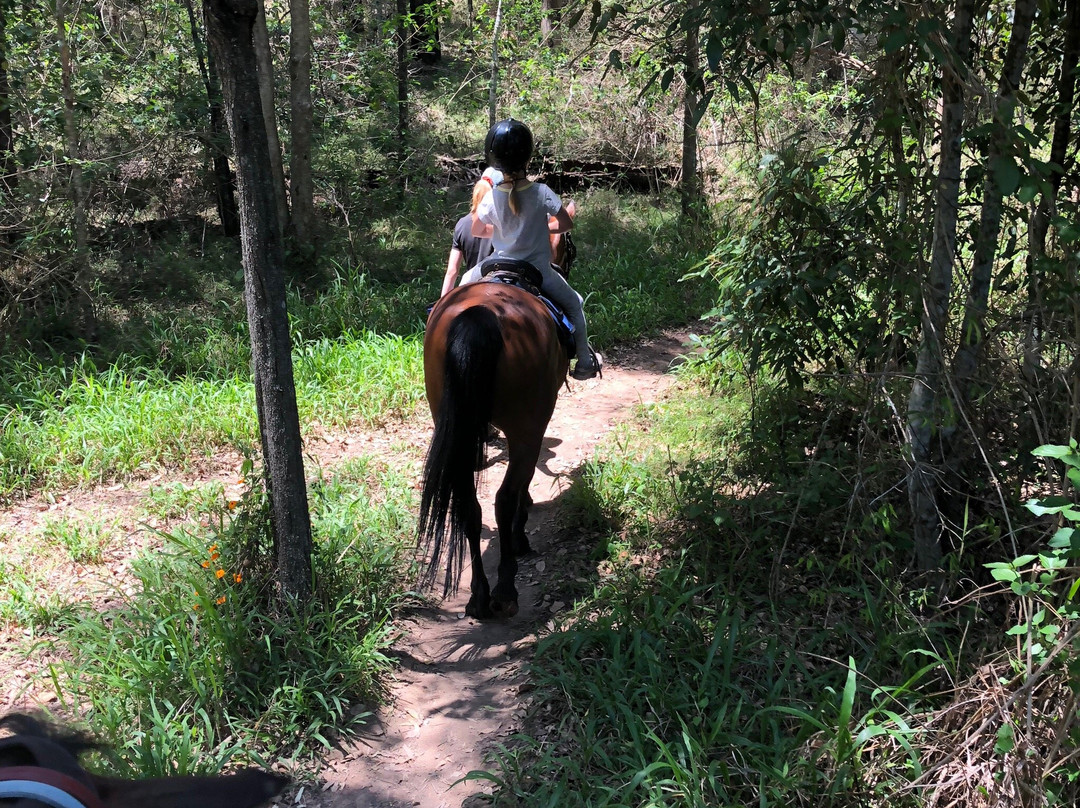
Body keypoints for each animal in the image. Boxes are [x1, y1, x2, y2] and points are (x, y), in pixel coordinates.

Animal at [416, 267, 570, 613]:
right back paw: (505, 589)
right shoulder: (533, 428)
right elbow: (523, 482)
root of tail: (480, 315)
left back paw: (479, 594)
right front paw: (521, 532)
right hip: (525, 426)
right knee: (504, 498)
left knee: (470, 506)